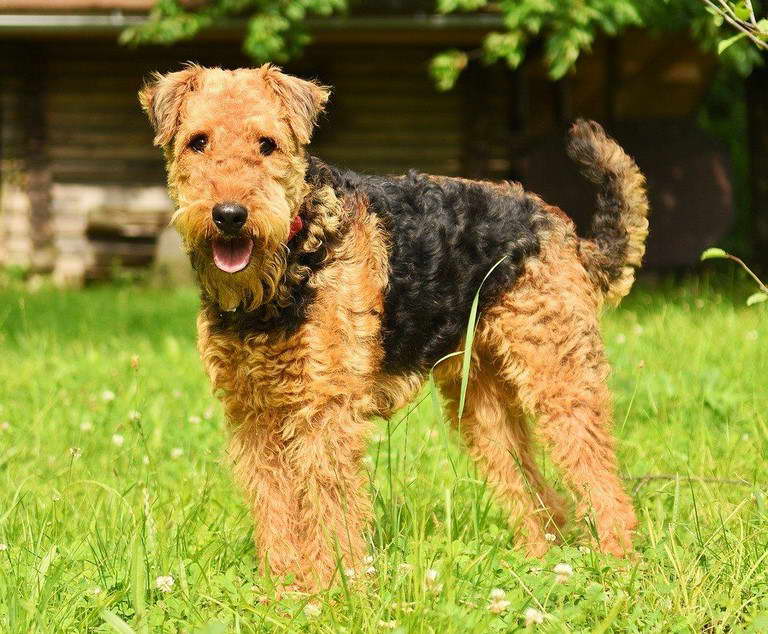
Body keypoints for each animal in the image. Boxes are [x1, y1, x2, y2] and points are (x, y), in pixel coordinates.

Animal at [140, 64, 648, 588]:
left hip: (558, 376)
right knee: (535, 494)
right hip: (482, 403)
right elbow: (275, 506)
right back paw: (539, 563)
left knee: (601, 482)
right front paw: (282, 588)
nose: (230, 216)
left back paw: (615, 562)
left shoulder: (325, 409)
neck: (287, 265)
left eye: (267, 144)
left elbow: (328, 506)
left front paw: (331, 587)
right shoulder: (252, 411)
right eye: (198, 141)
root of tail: (564, 231)